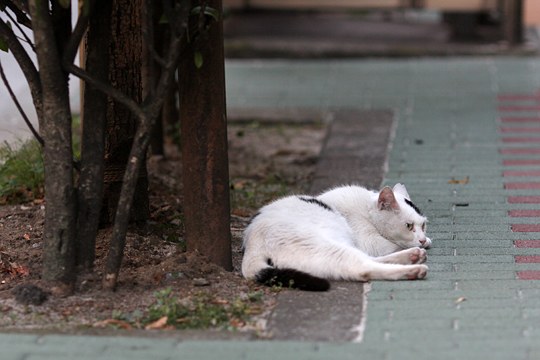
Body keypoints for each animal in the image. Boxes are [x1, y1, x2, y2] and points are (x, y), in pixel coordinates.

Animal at [243, 184, 432, 292]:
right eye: (408, 226)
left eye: (423, 225)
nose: (422, 239)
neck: (366, 209)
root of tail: (252, 248)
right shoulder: (369, 241)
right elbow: (391, 245)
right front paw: (418, 245)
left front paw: (426, 242)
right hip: (330, 247)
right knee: (364, 267)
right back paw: (414, 267)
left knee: (368, 262)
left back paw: (413, 256)